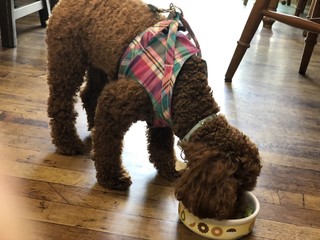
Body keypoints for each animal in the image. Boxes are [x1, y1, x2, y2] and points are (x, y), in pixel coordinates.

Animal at [47, 0, 262, 219]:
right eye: (238, 186)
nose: (236, 211)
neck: (185, 88)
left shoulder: (162, 117)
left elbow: (162, 147)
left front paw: (169, 170)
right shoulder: (115, 104)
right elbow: (108, 146)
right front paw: (112, 178)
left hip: (98, 63)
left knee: (89, 95)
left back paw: (92, 127)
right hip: (67, 61)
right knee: (60, 103)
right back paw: (68, 142)